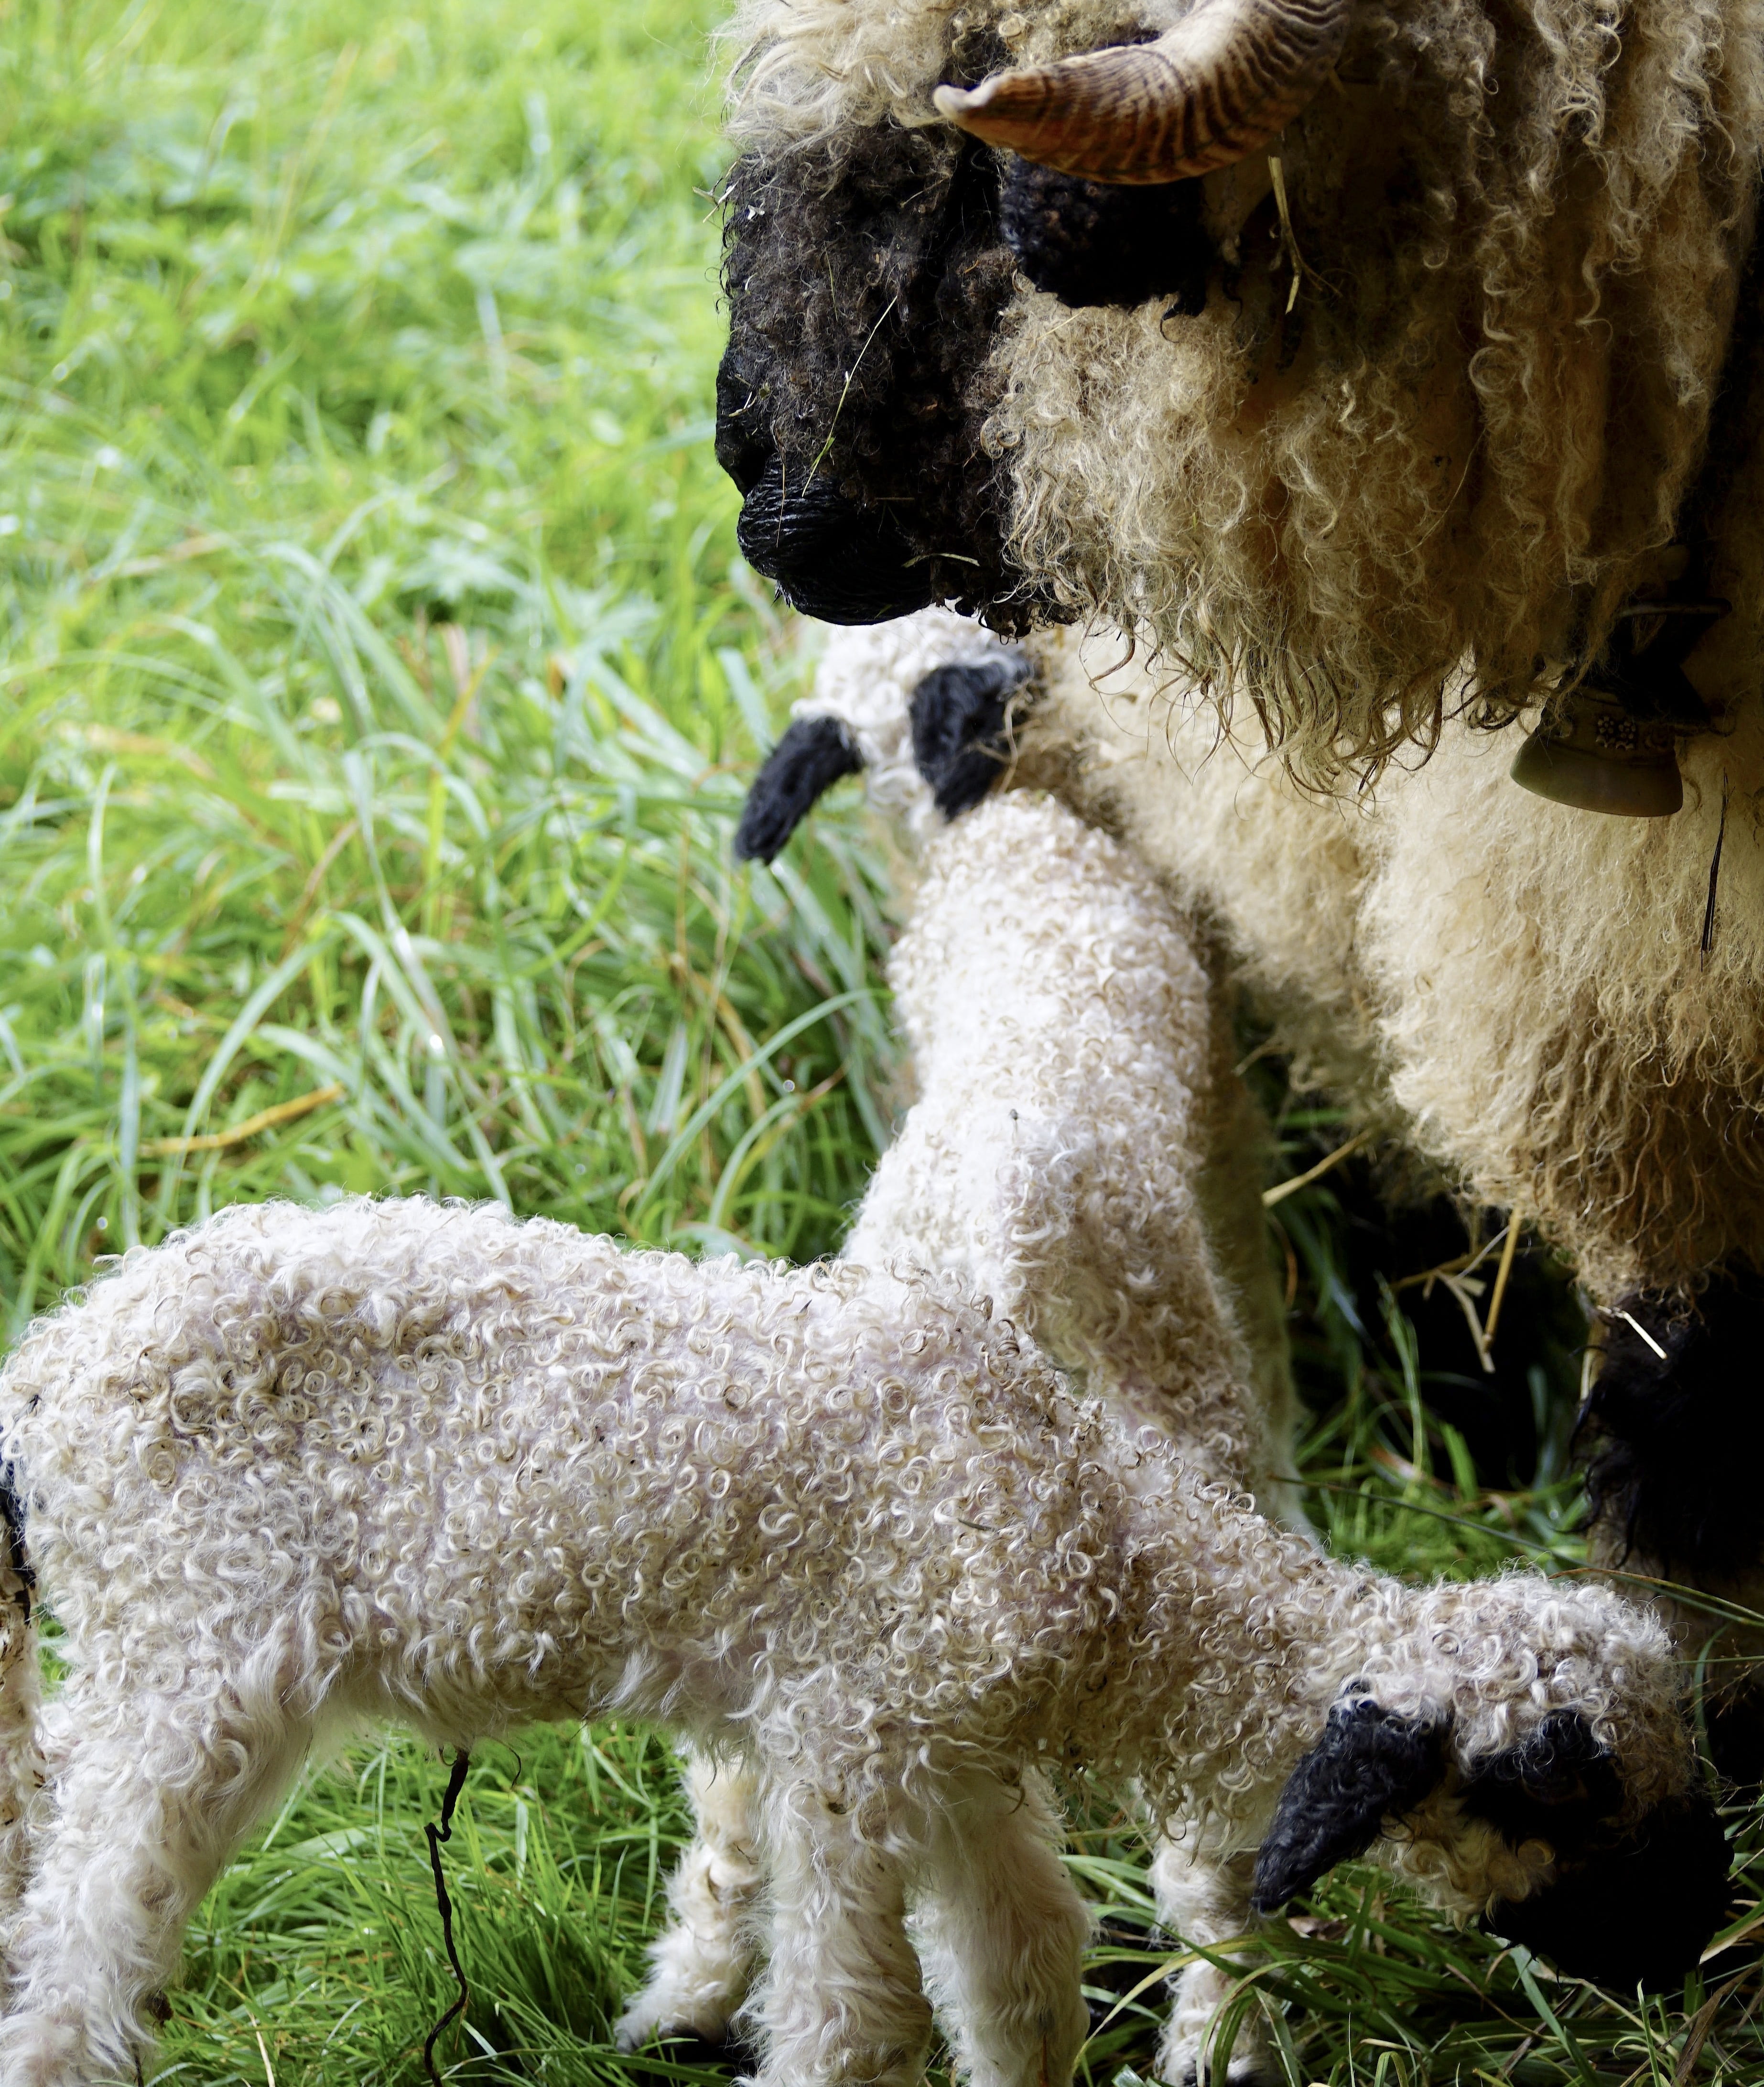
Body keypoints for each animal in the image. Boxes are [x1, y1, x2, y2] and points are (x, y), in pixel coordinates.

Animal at [0, 1195, 1732, 2087]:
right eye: (1554, 1786)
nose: (1695, 1944)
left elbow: (1022, 1977)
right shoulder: (847, 1740)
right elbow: (851, 2020)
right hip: (190, 1634)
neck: (1105, 1550)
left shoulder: (960, 1761)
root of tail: (42, 1380)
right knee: (85, 1933)